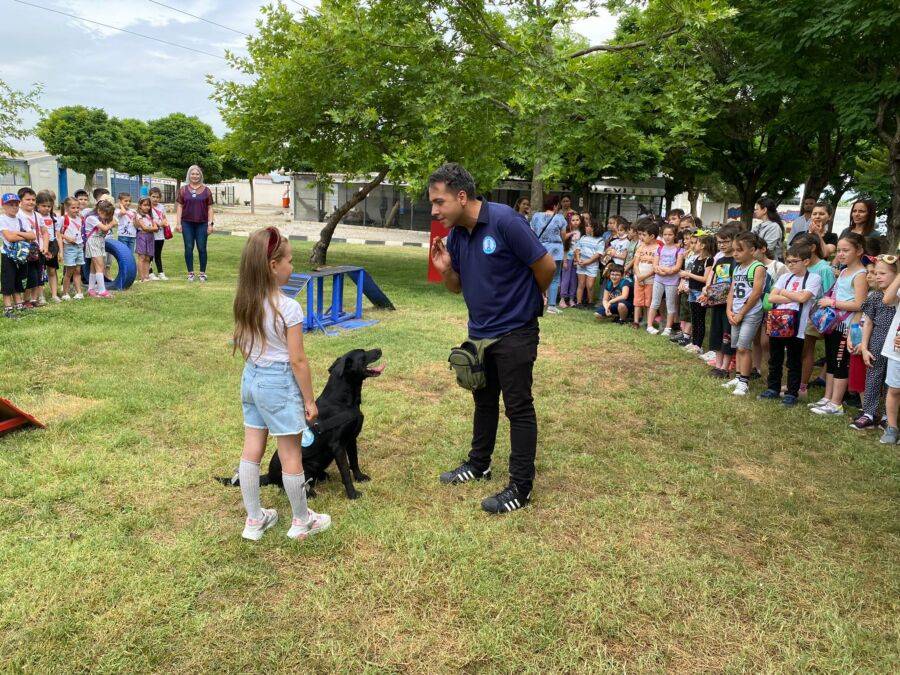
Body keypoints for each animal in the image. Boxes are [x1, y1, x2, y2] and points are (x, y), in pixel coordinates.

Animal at [223, 352, 384, 500]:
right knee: (287, 487)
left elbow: (354, 461)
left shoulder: (351, 439)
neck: (343, 401)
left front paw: (360, 477)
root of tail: (269, 475)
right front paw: (352, 494)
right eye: (364, 354)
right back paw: (309, 493)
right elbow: (345, 471)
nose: (379, 349)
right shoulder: (337, 445)